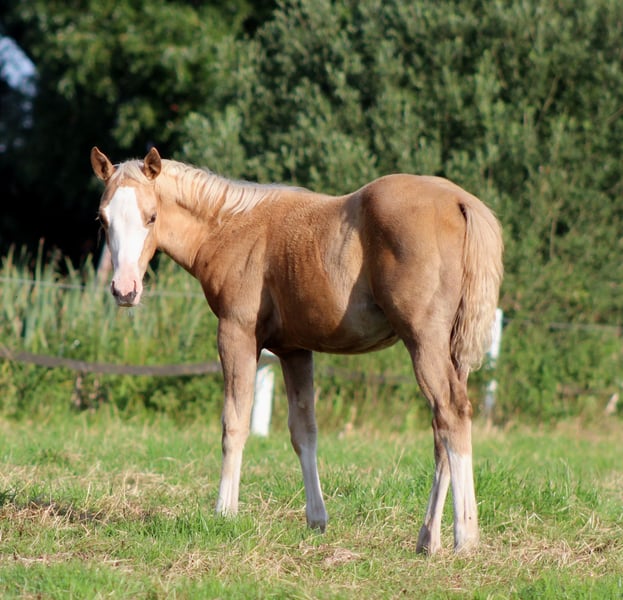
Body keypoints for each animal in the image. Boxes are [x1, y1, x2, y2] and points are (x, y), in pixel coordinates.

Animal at [91, 146, 503, 554]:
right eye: (103, 219)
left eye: (151, 216)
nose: (124, 290)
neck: (231, 227)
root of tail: (460, 201)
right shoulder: (294, 350)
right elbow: (304, 431)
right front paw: (316, 520)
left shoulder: (236, 333)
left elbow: (234, 422)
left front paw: (224, 513)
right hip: (451, 350)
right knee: (442, 430)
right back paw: (427, 538)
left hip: (423, 339)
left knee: (451, 413)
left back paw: (465, 537)